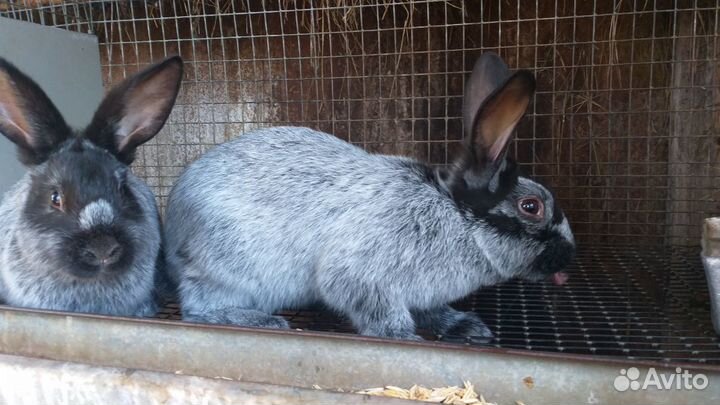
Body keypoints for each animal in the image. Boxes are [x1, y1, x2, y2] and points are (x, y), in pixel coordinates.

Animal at [164, 52, 575, 340]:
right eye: (531, 206)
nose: (570, 256)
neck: (458, 217)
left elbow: (432, 311)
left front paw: (467, 326)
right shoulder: (363, 277)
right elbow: (381, 314)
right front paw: (405, 338)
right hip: (232, 269)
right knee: (199, 308)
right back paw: (263, 321)